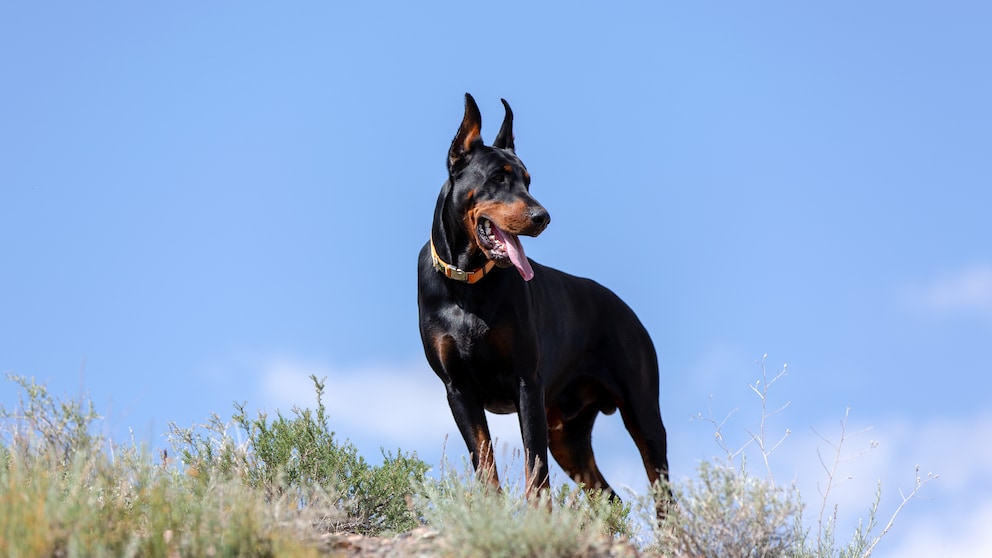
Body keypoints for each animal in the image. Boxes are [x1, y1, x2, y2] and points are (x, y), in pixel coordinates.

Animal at [414, 94, 672, 520]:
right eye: (498, 178)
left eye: (528, 180)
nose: (543, 217)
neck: (467, 286)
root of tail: (628, 312)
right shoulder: (458, 390)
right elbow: (485, 463)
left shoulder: (526, 383)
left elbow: (535, 469)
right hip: (567, 435)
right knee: (608, 498)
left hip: (642, 412)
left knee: (665, 498)